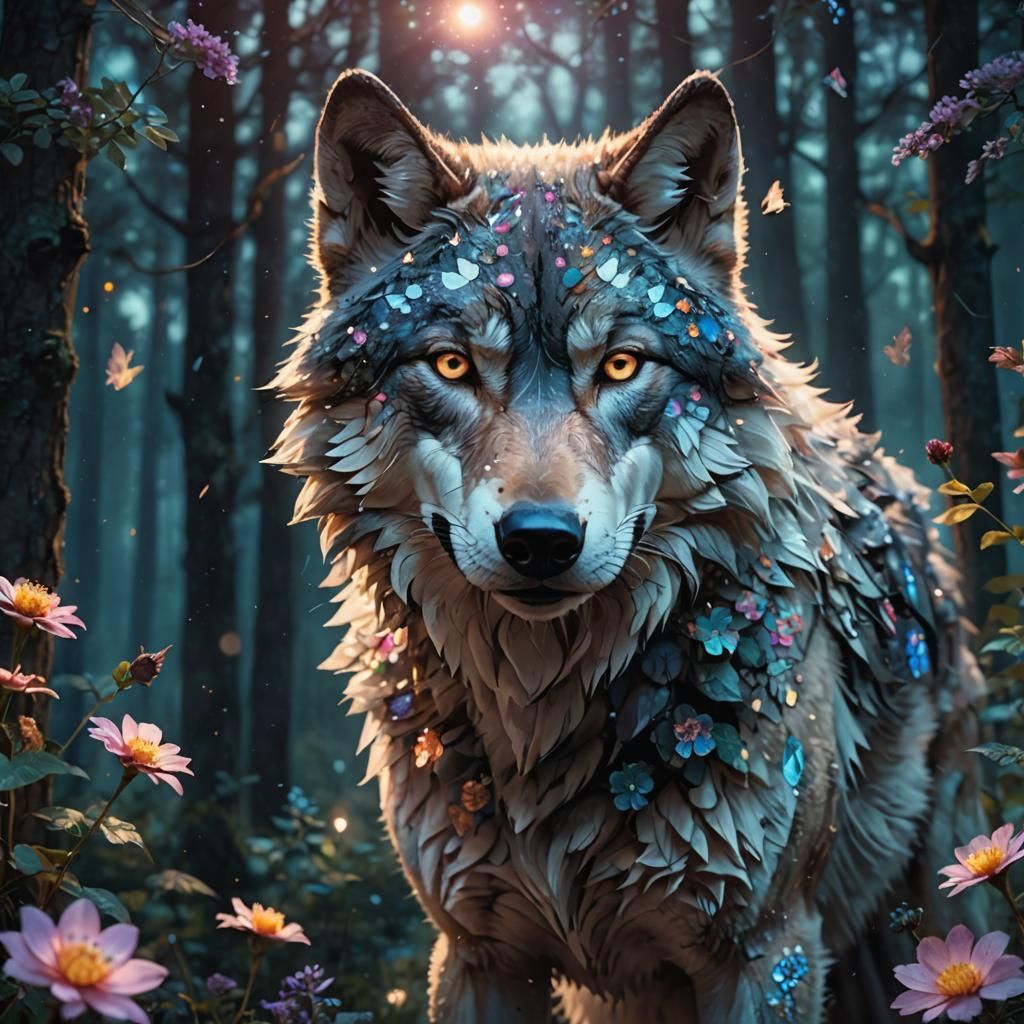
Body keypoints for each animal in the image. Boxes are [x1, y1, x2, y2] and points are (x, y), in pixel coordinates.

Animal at [270, 68, 986, 1023]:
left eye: (620, 366)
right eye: (453, 365)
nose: (541, 541)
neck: (543, 713)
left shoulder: (768, 952)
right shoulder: (476, 953)